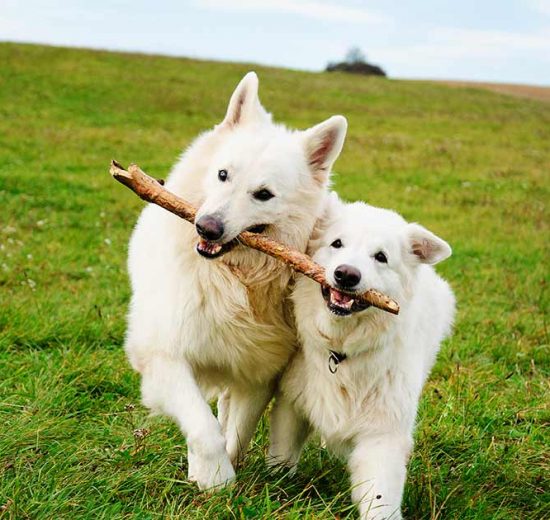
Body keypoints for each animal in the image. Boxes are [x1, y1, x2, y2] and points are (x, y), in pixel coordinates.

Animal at [125, 73, 350, 492]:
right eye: (222, 175)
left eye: (263, 194)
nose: (206, 227)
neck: (235, 279)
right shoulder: (164, 356)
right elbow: (203, 426)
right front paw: (214, 478)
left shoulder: (257, 372)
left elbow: (237, 431)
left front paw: (221, 474)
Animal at [272, 195, 458, 520]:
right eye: (337, 243)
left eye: (380, 257)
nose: (346, 274)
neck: (341, 350)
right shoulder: (291, 404)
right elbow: (282, 455)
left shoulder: (383, 435)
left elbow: (380, 494)